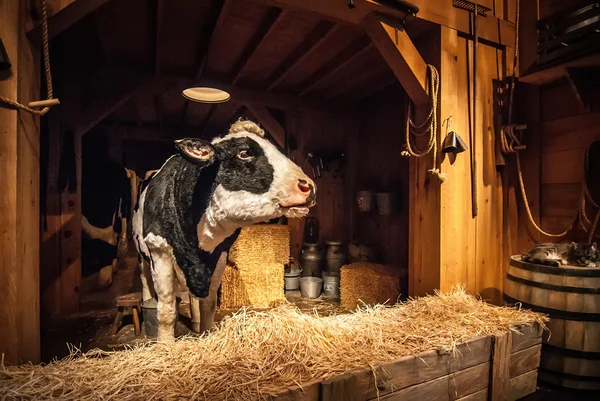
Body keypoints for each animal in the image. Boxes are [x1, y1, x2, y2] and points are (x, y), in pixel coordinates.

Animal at [134, 119, 316, 340]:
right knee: (145, 283)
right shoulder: (160, 251)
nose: (309, 186)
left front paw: (207, 334)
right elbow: (166, 310)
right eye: (244, 153)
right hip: (143, 257)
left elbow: (209, 304)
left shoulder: (219, 256)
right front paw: (165, 344)